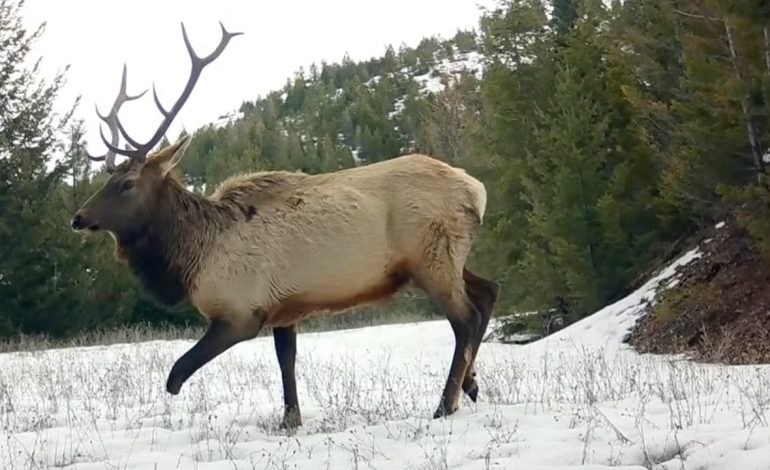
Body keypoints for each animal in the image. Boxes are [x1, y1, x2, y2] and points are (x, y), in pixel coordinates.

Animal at [70, 22, 500, 429]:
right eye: (106, 180)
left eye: (127, 183)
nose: (78, 218)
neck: (193, 256)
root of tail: (477, 189)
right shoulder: (284, 309)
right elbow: (286, 362)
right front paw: (290, 419)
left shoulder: (240, 312)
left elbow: (175, 374)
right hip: (447, 258)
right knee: (488, 292)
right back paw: (471, 385)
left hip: (430, 257)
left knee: (465, 318)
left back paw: (445, 405)